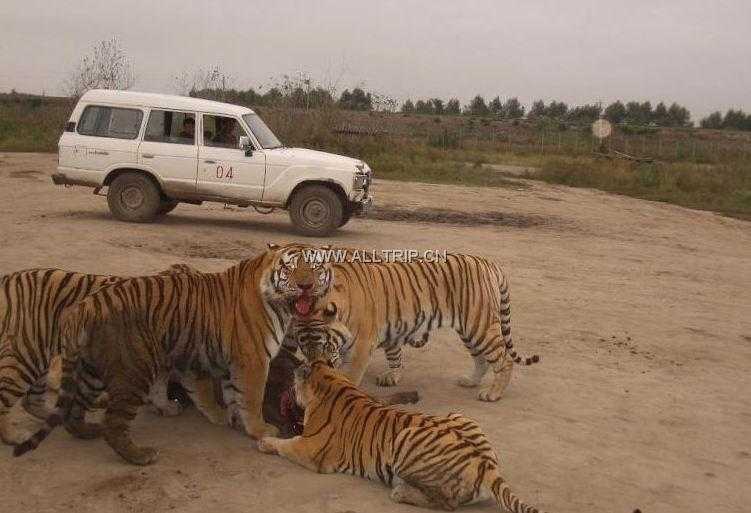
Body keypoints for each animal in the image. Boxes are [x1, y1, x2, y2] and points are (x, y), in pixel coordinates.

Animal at [0, 264, 203, 444]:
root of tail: (8, 279)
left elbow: (159, 386)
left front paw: (165, 406)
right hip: (26, 355)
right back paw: (15, 436)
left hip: (40, 356)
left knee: (31, 399)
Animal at [258, 360, 548, 512]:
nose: (288, 390)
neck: (331, 381)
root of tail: (488, 466)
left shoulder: (310, 449)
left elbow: (284, 445)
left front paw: (264, 442)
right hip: (459, 415)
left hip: (406, 437)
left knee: (448, 503)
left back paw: (400, 492)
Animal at [296, 250, 544, 402]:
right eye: (301, 345)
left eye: (320, 341)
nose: (313, 366)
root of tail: (489, 263)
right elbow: (394, 353)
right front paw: (392, 376)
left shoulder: (361, 347)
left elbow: (351, 375)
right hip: (469, 330)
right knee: (480, 359)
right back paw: (470, 382)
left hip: (480, 326)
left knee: (504, 360)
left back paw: (492, 394)